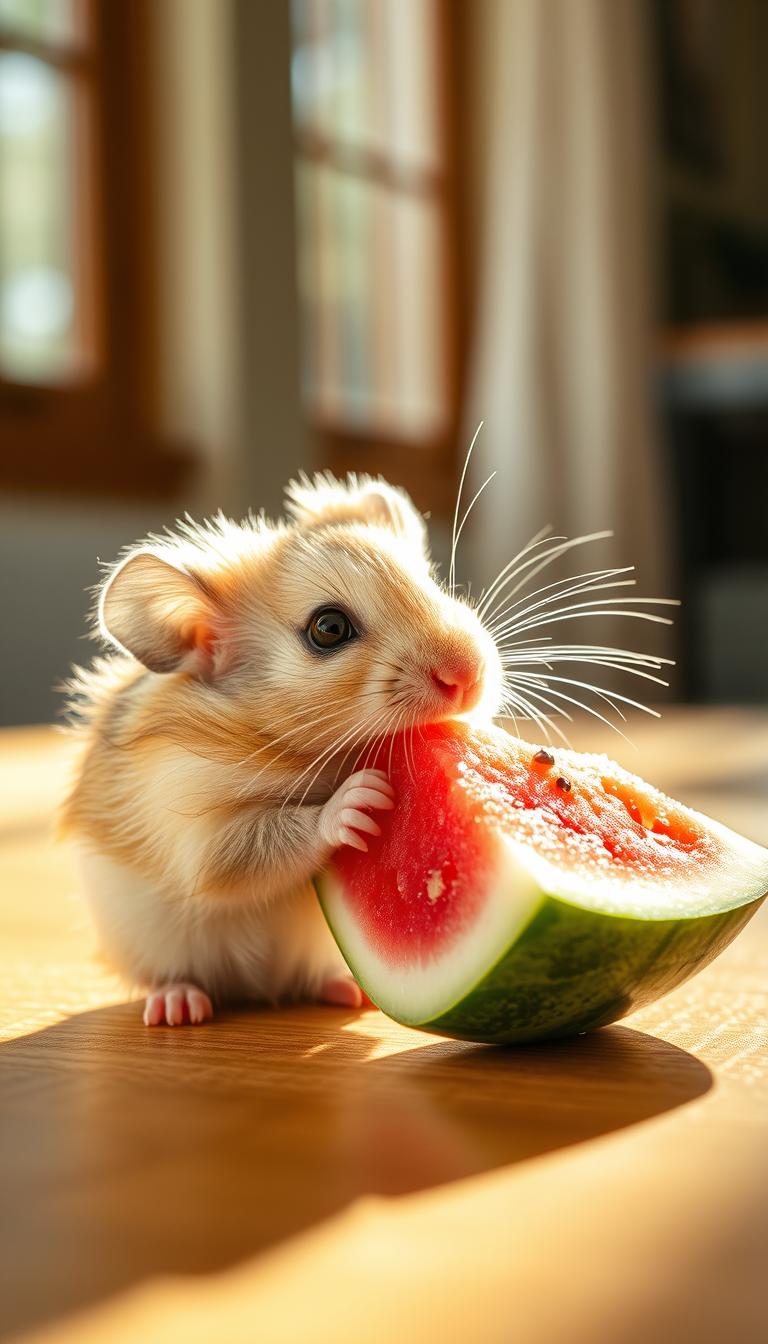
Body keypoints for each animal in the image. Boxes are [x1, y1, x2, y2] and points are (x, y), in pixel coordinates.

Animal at [59, 473, 503, 1025]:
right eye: (328, 628)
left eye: (432, 584)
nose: (469, 678)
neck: (297, 750)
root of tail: (258, 989)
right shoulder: (192, 825)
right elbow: (260, 841)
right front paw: (360, 799)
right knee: (173, 978)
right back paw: (178, 1006)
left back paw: (351, 993)